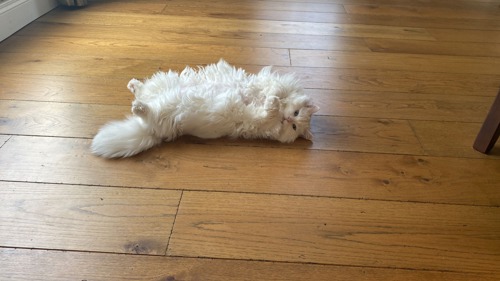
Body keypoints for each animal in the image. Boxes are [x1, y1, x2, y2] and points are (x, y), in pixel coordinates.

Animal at [91, 58, 320, 158]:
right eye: (296, 114)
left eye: (293, 127)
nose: (288, 120)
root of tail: (149, 132)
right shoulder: (263, 84)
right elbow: (273, 89)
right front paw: (275, 98)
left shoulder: (257, 121)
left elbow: (266, 111)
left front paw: (272, 102)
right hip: (164, 84)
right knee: (142, 91)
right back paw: (133, 85)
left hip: (164, 113)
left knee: (145, 109)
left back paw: (138, 106)